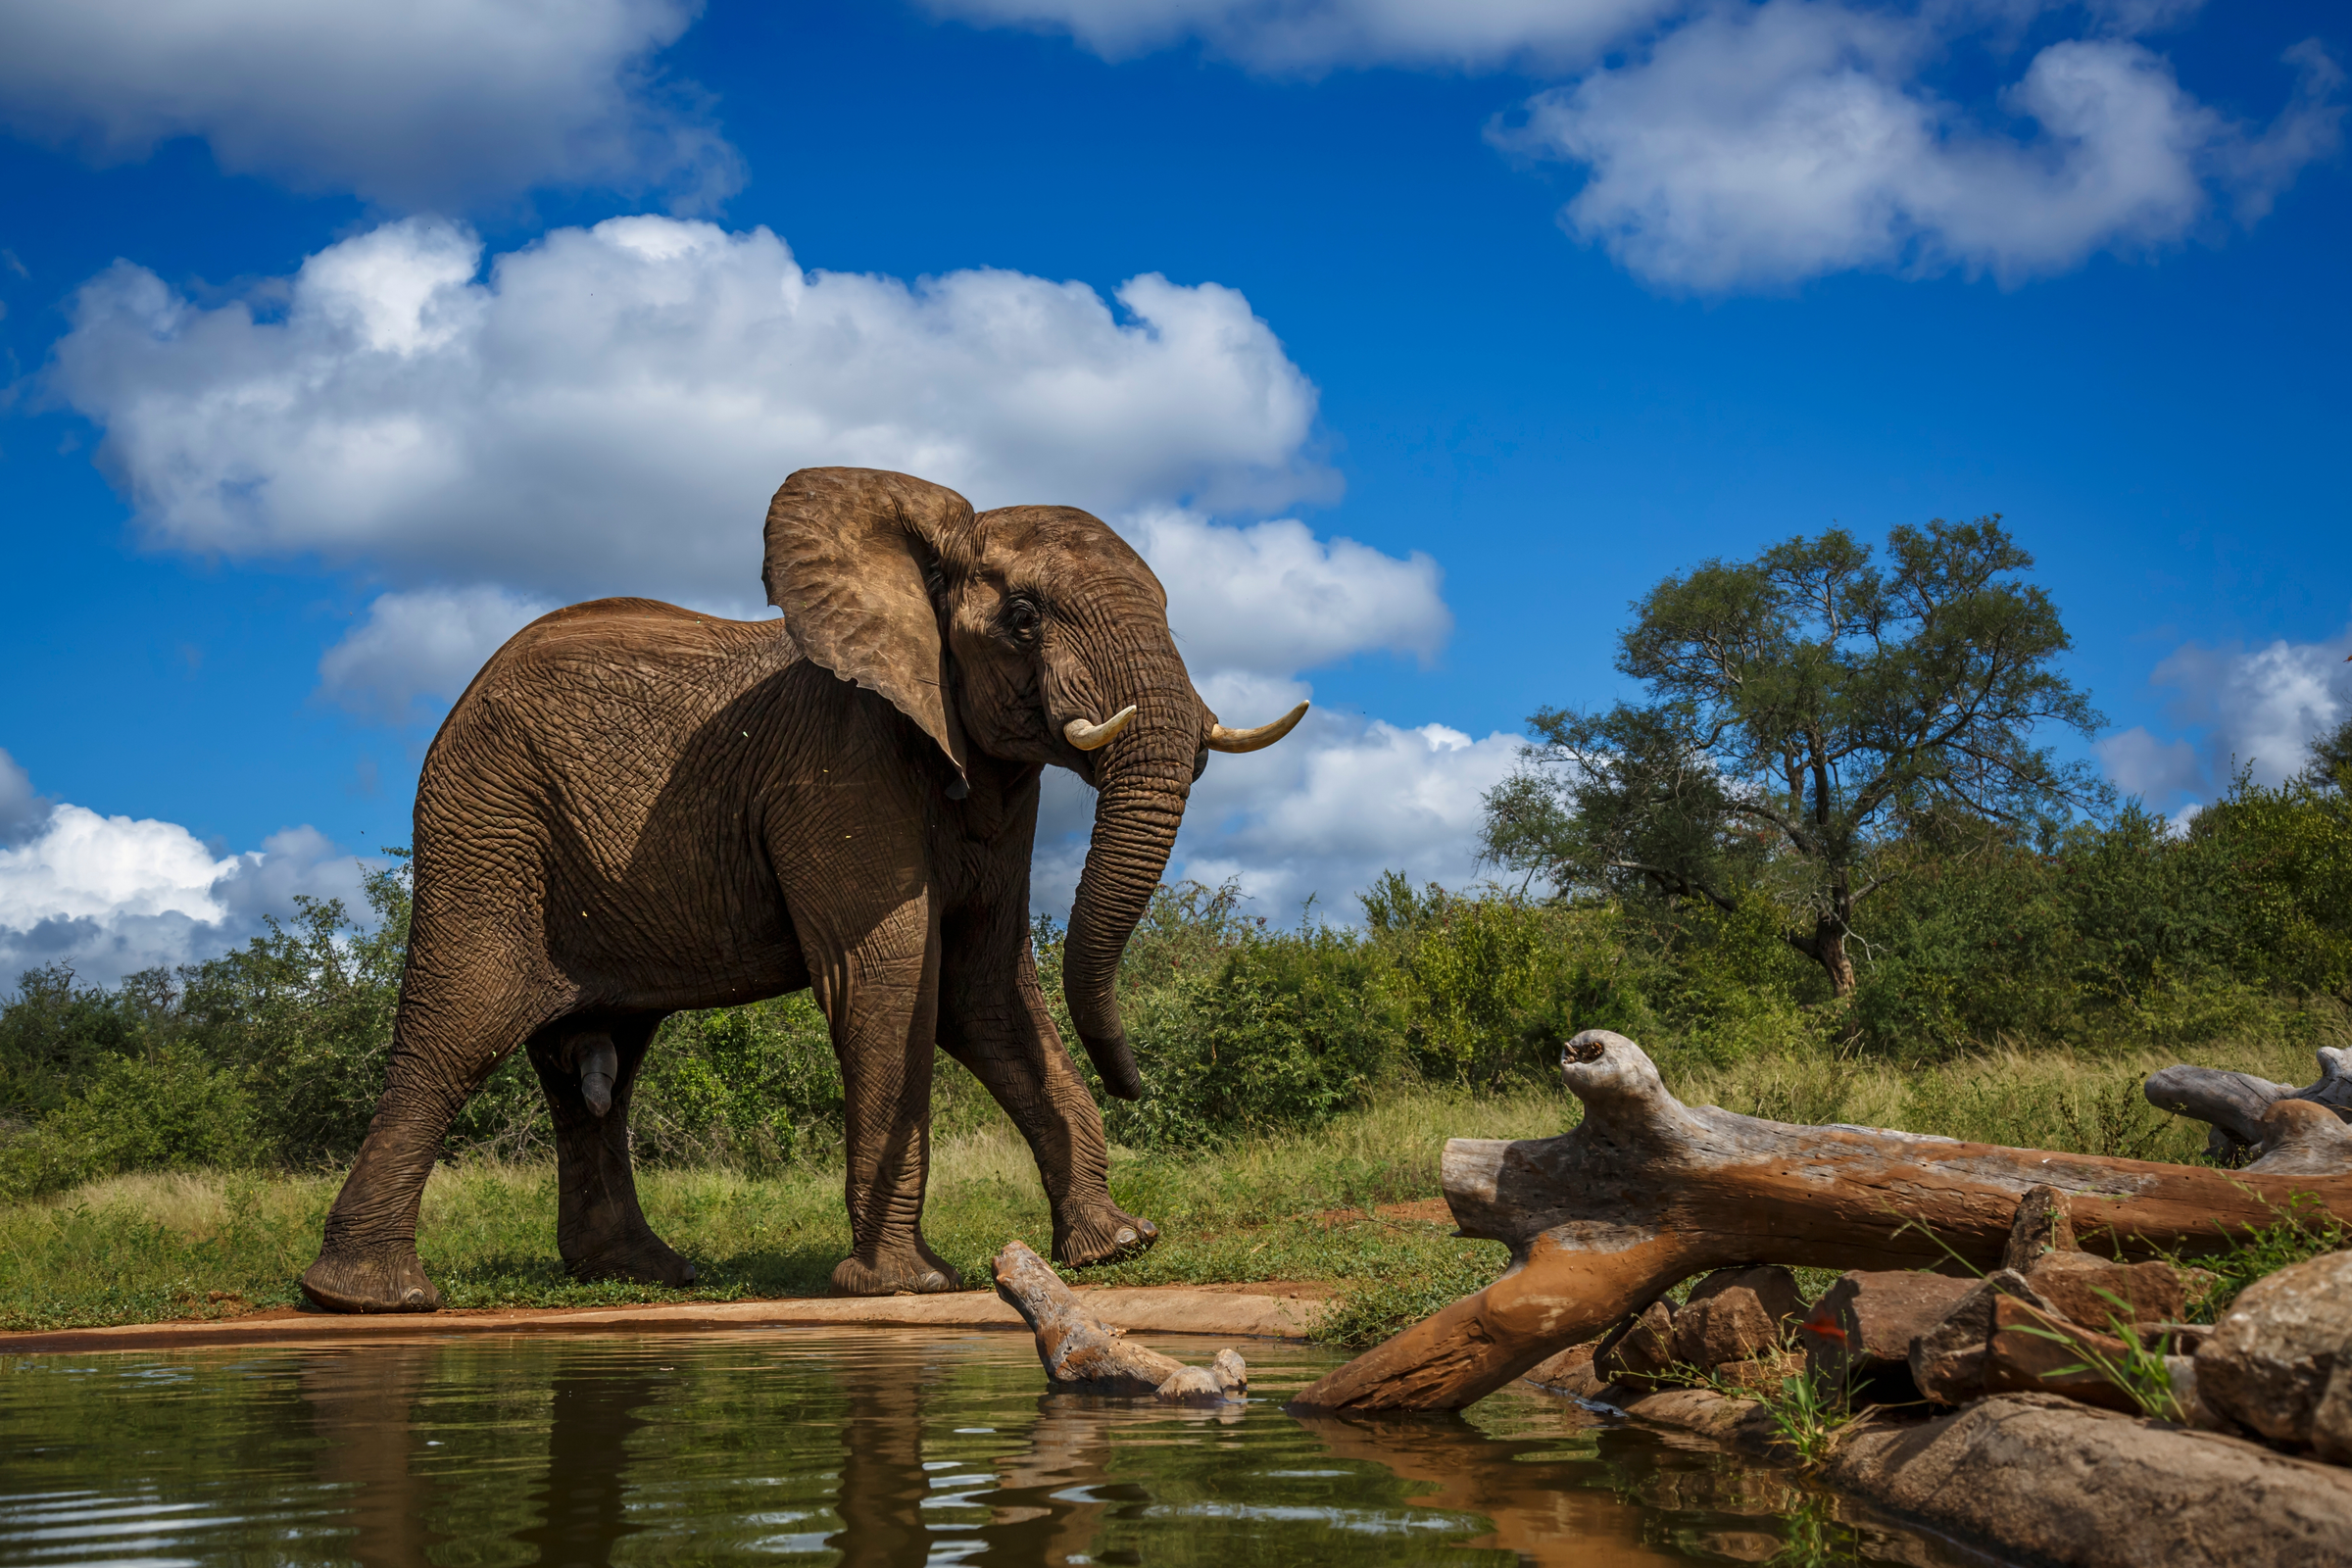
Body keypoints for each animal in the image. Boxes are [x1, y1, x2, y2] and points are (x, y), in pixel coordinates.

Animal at [298, 465, 1307, 1316]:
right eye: (1023, 616)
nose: (1140, 1082)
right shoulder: (838, 765)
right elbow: (892, 977)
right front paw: (906, 1284)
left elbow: (984, 992)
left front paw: (1120, 1248)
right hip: (486, 826)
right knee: (456, 1034)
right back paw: (371, 1299)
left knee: (598, 1068)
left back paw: (643, 1273)